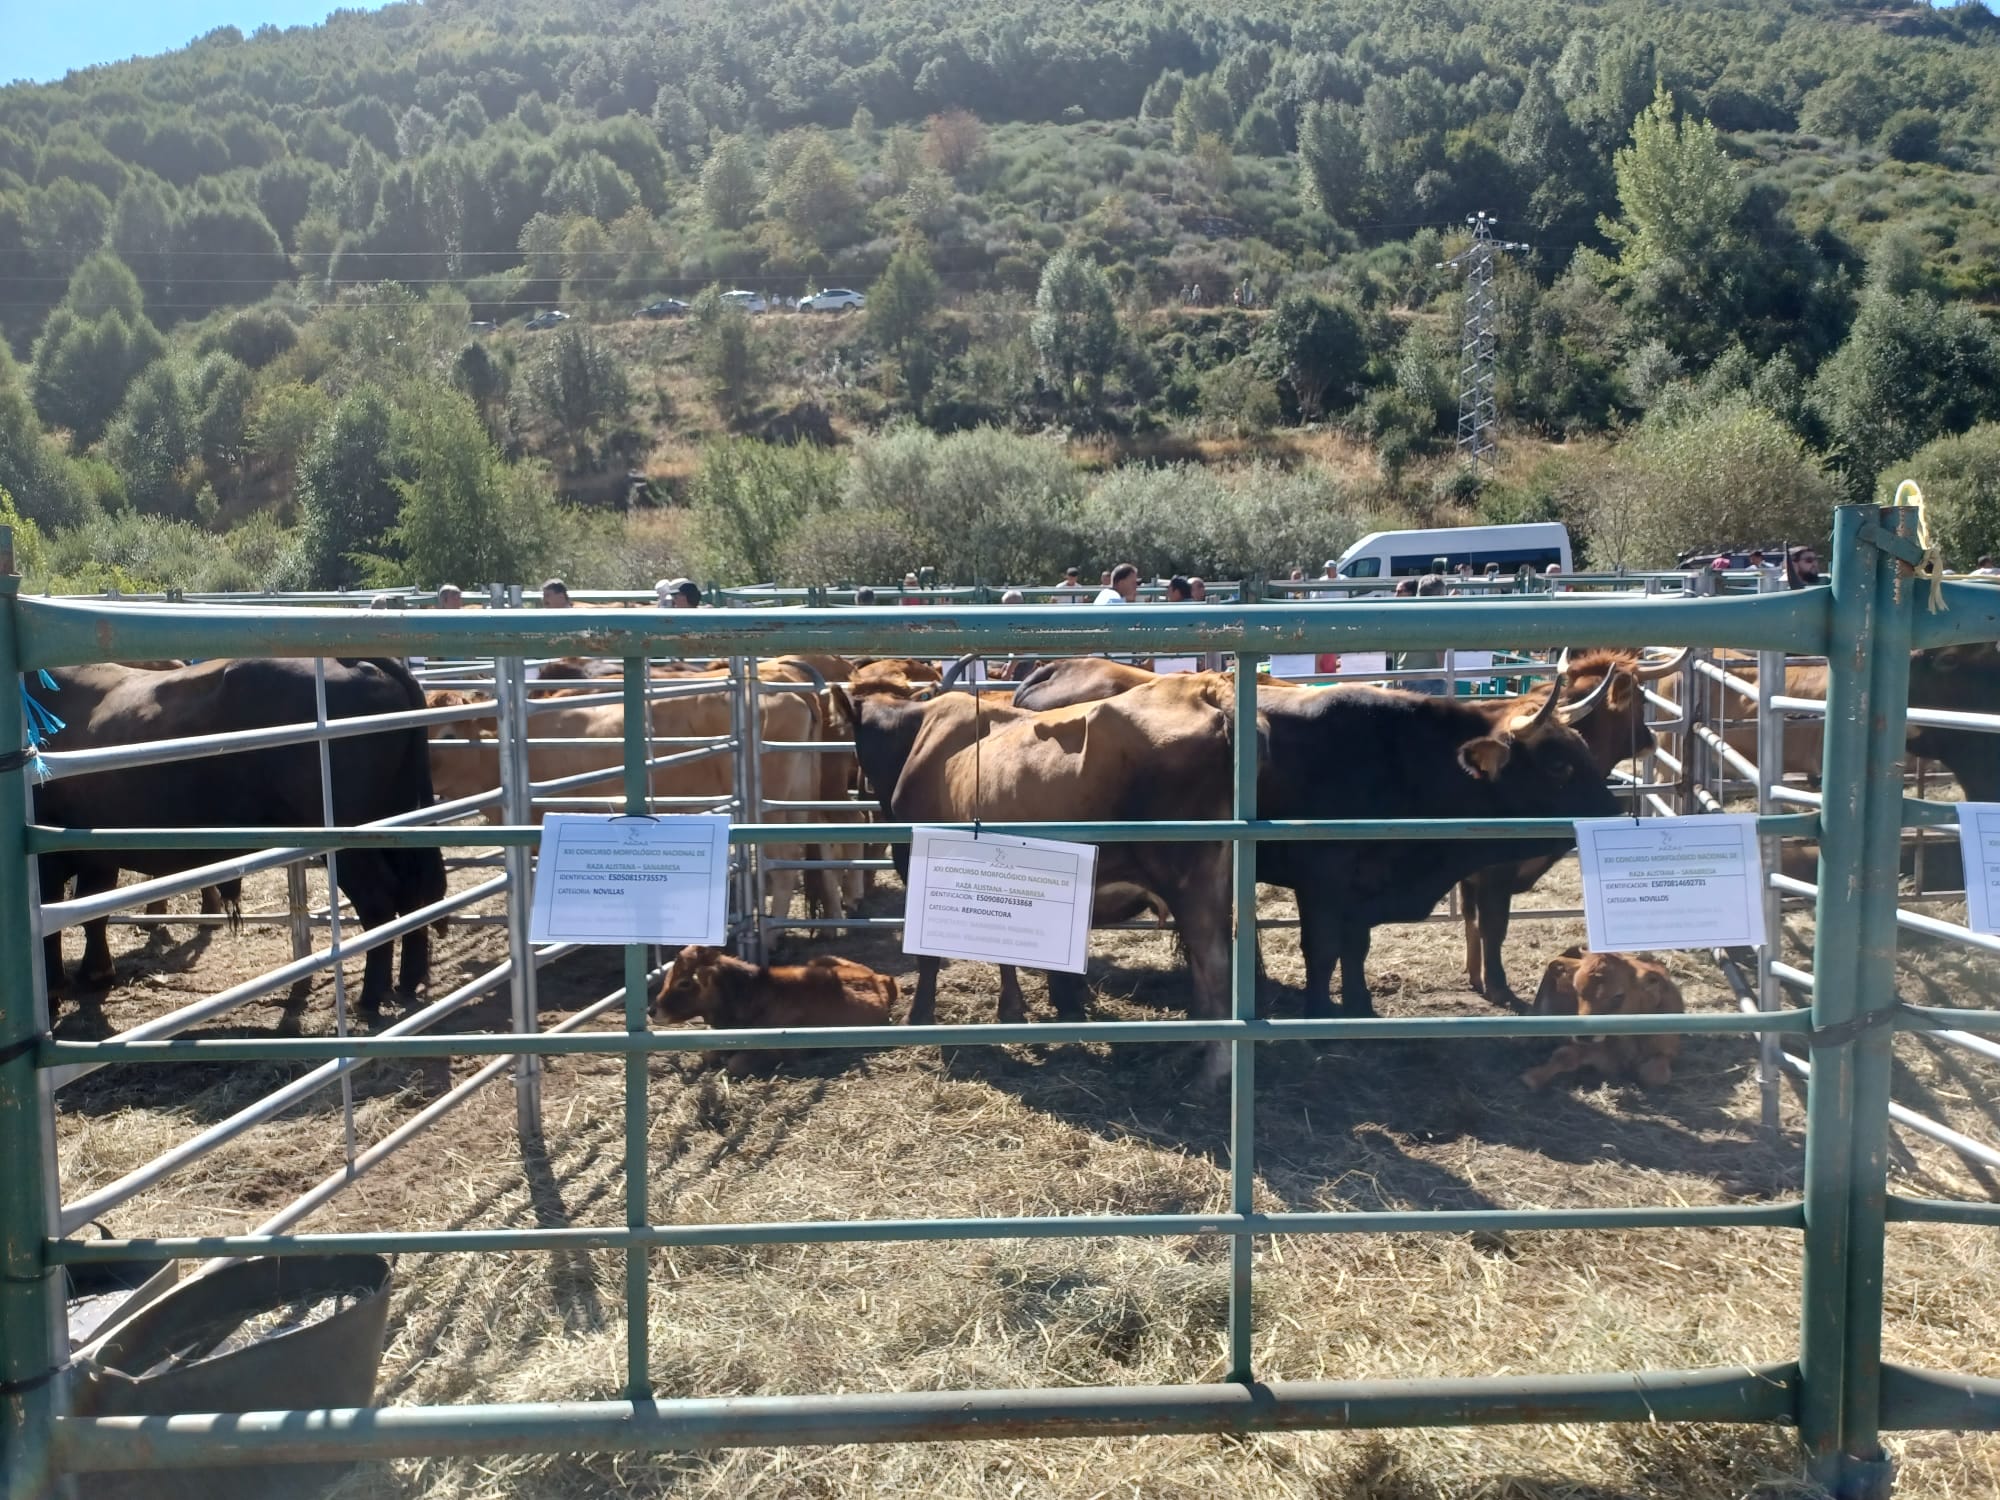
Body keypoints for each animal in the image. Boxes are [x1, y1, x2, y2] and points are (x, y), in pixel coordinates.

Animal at [31, 656, 446, 1012]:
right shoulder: (93, 851)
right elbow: (91, 911)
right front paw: (95, 973)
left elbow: (52, 923)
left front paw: (52, 990)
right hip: (394, 820)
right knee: (411, 895)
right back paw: (407, 982)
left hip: (347, 839)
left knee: (378, 901)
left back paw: (370, 997)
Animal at [1264, 684, 1624, 1024]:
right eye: (1559, 765)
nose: (1616, 815)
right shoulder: (1320, 877)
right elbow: (1322, 950)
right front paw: (1320, 1016)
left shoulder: (1364, 890)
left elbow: (1356, 946)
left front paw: (1360, 1009)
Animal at [1520, 952, 1680, 1096]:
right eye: (1576, 989)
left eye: (1618, 995)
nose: (1584, 1035)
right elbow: (1565, 1056)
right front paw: (1534, 1077)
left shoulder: (1667, 1049)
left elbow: (1655, 1074)